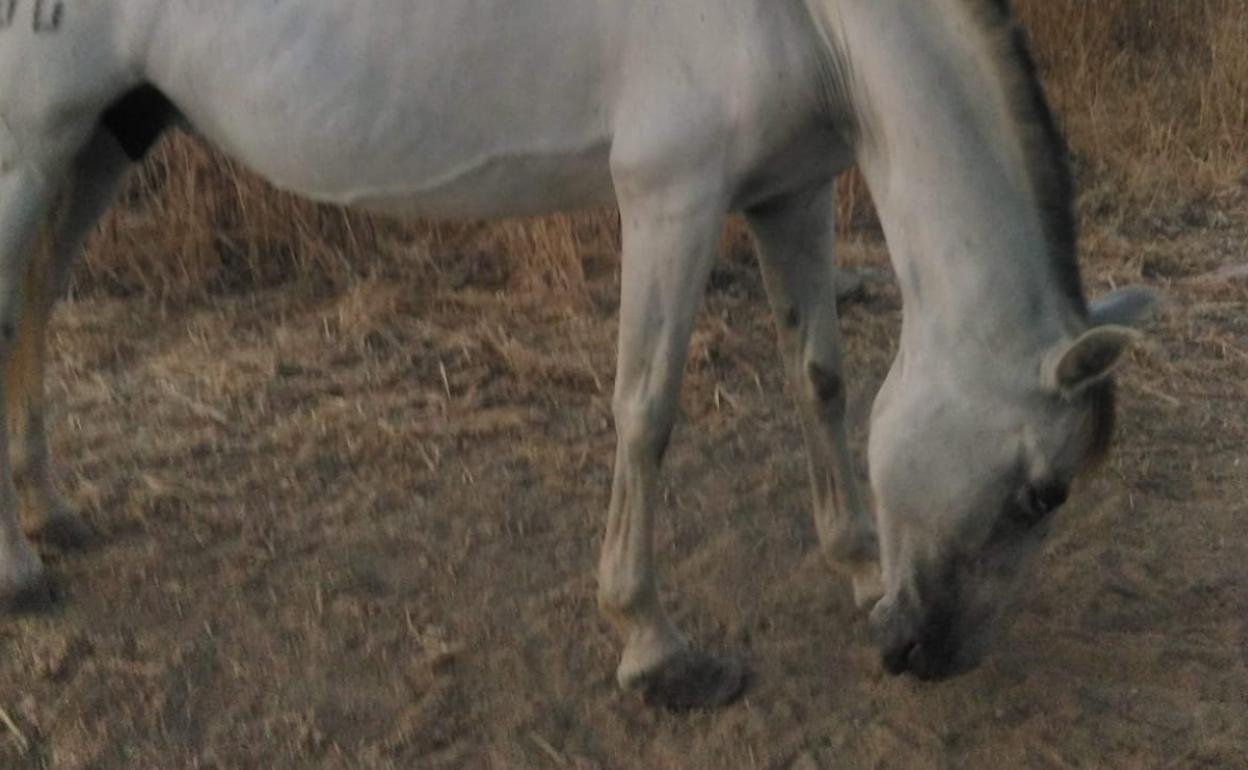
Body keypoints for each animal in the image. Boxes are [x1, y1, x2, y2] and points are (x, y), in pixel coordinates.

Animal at [0, 0, 1153, 708]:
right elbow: (646, 413)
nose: (924, 653)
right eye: (1040, 492)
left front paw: (857, 563)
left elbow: (820, 380)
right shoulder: (670, 199)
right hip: (30, 145)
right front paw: (653, 647)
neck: (808, 17)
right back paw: (20, 567)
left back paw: (49, 511)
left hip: (107, 134)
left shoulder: (789, 191)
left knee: (36, 305)